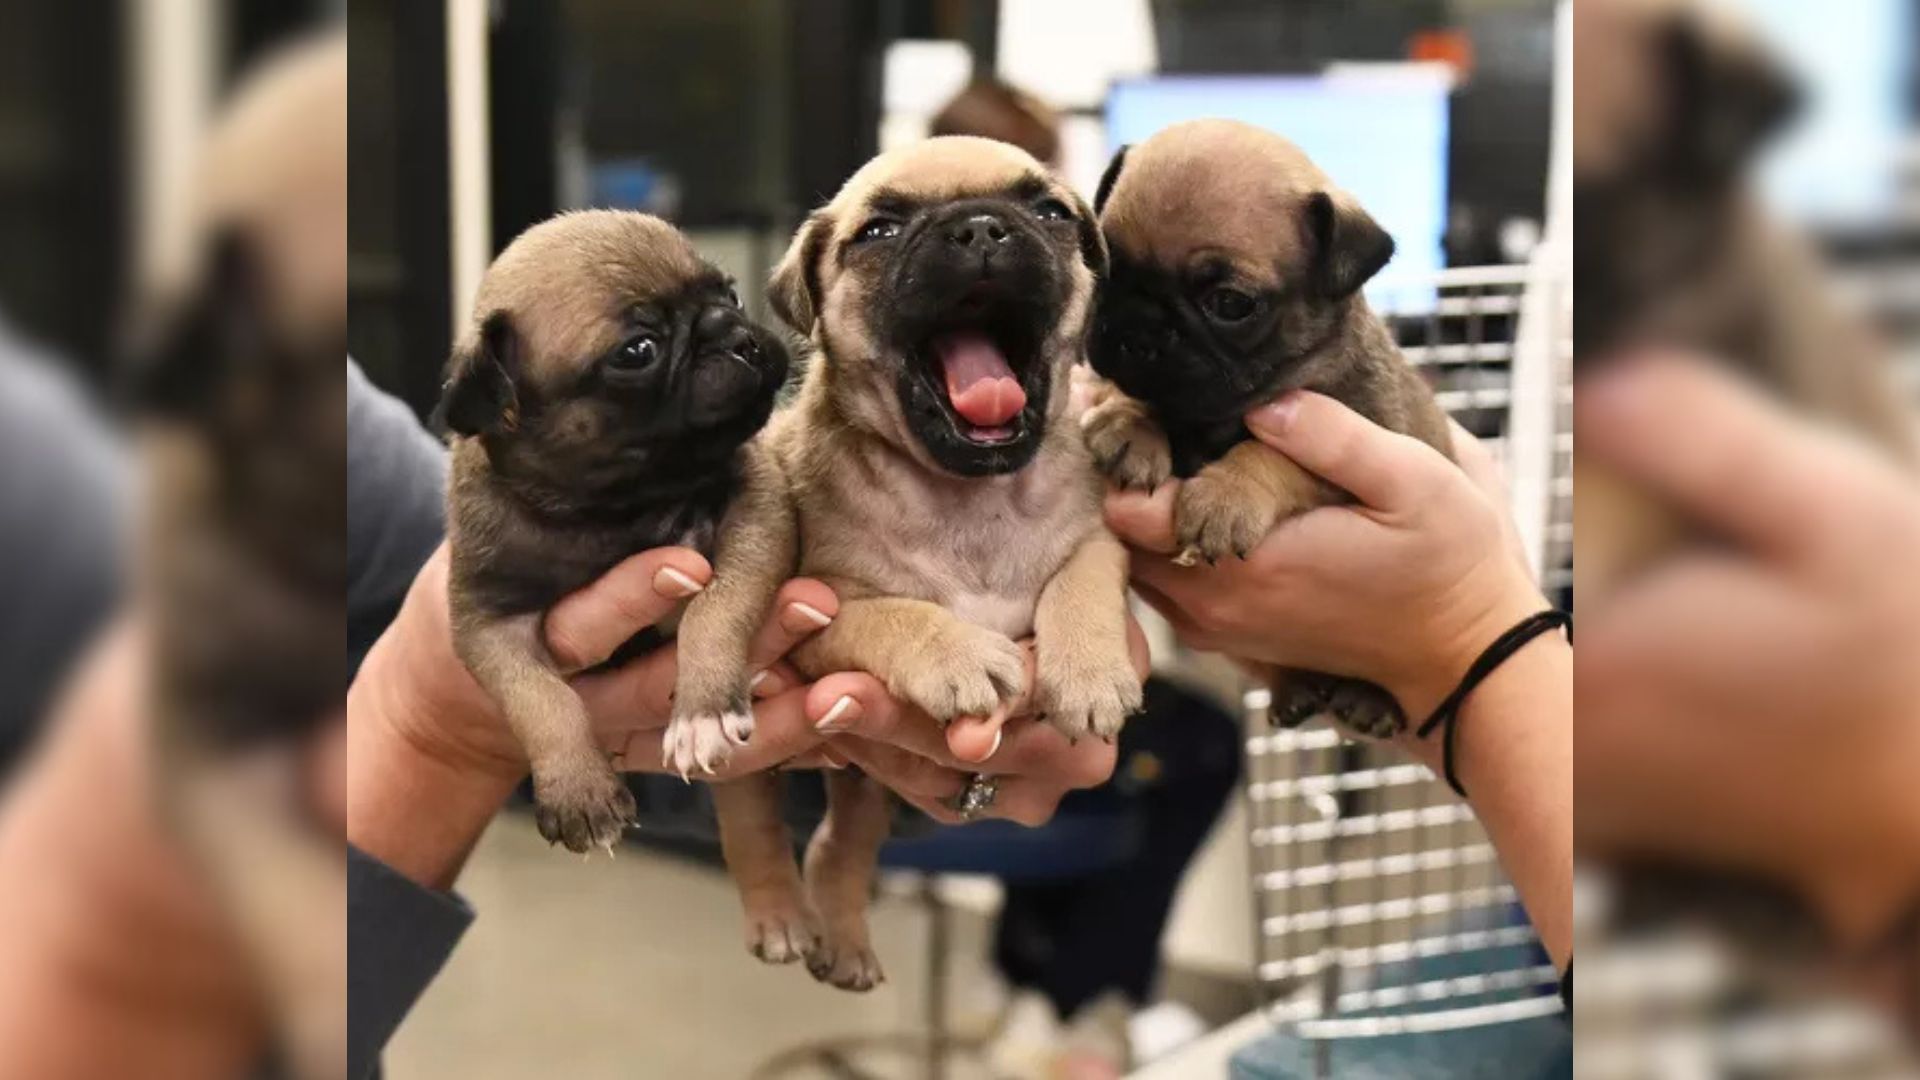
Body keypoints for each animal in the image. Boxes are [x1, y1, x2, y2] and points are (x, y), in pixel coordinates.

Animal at [441, 210, 787, 849]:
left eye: (730, 294)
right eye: (638, 350)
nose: (738, 335)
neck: (607, 505)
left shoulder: (756, 516)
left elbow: (715, 611)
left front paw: (703, 710)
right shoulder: (489, 625)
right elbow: (540, 700)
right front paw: (578, 790)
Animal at [668, 138, 1128, 991]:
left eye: (1050, 211)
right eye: (878, 231)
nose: (981, 227)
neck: (970, 495)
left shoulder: (1097, 541)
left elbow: (1080, 582)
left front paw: (1089, 674)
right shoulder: (819, 611)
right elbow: (892, 614)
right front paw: (958, 656)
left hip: (863, 787)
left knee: (841, 846)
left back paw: (845, 941)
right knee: (752, 821)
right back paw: (780, 918)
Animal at [1090, 119, 1443, 737]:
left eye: (1231, 303)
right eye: (1106, 271)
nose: (1135, 329)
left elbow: (1273, 455)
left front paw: (1226, 496)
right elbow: (1136, 395)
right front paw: (1129, 423)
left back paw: (1370, 701)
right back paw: (1294, 689)